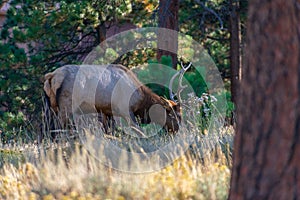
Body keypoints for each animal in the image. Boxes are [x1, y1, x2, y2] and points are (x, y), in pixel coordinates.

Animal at [42, 64, 190, 136]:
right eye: (175, 115)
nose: (178, 131)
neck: (140, 99)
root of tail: (52, 76)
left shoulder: (105, 110)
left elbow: (108, 131)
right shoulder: (126, 110)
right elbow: (139, 131)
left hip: (52, 107)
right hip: (67, 104)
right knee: (60, 127)